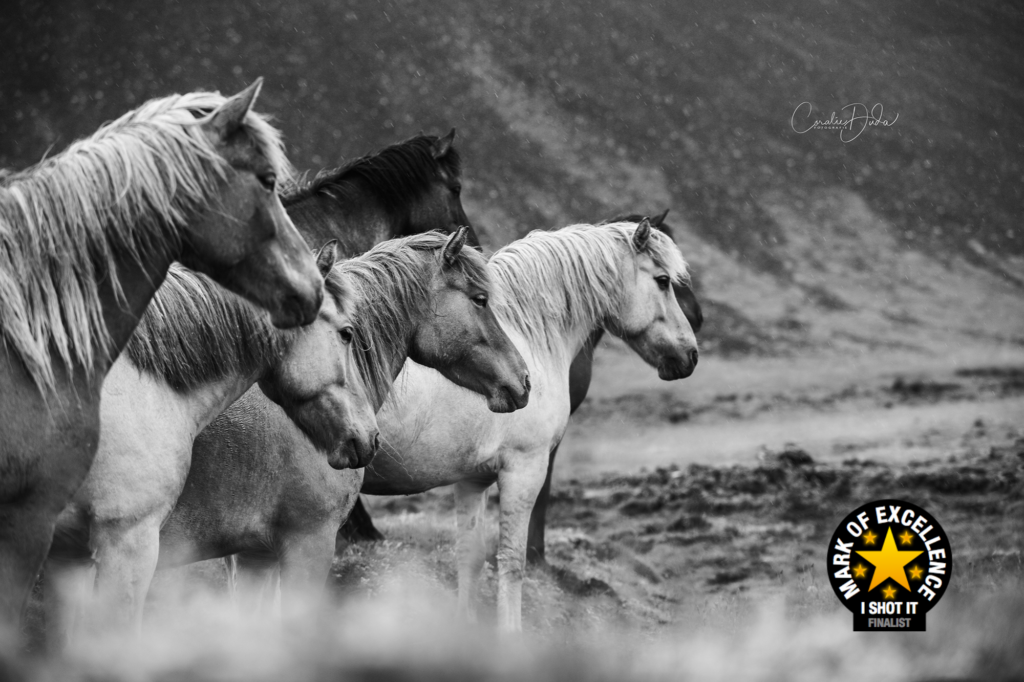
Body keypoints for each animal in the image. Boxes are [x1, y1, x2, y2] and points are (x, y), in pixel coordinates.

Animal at [356, 218, 700, 626]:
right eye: (663, 280)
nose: (691, 354)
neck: (528, 336)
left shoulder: (472, 481)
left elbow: (469, 559)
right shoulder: (525, 469)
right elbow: (511, 563)